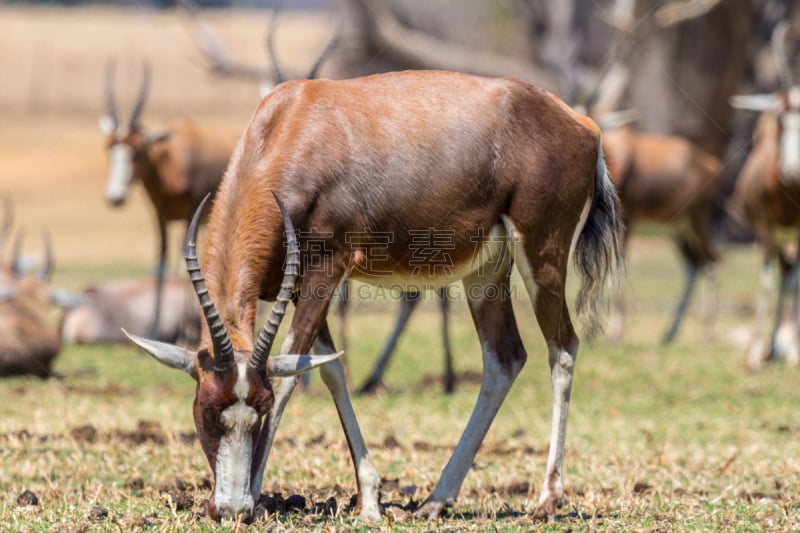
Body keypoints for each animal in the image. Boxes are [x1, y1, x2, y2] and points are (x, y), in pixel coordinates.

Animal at [99, 61, 238, 336]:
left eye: (137, 151)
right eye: (110, 149)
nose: (116, 197)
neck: (172, 158)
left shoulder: (190, 213)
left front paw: (186, 333)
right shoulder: (160, 216)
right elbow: (162, 260)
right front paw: (154, 328)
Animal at [123, 68, 624, 520]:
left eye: (259, 410)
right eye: (208, 409)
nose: (228, 508)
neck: (294, 120)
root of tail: (583, 125)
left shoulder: (329, 268)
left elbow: (289, 376)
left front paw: (260, 495)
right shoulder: (300, 284)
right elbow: (326, 370)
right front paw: (368, 501)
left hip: (541, 254)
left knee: (563, 347)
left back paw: (545, 501)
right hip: (485, 271)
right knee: (504, 358)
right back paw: (435, 501)